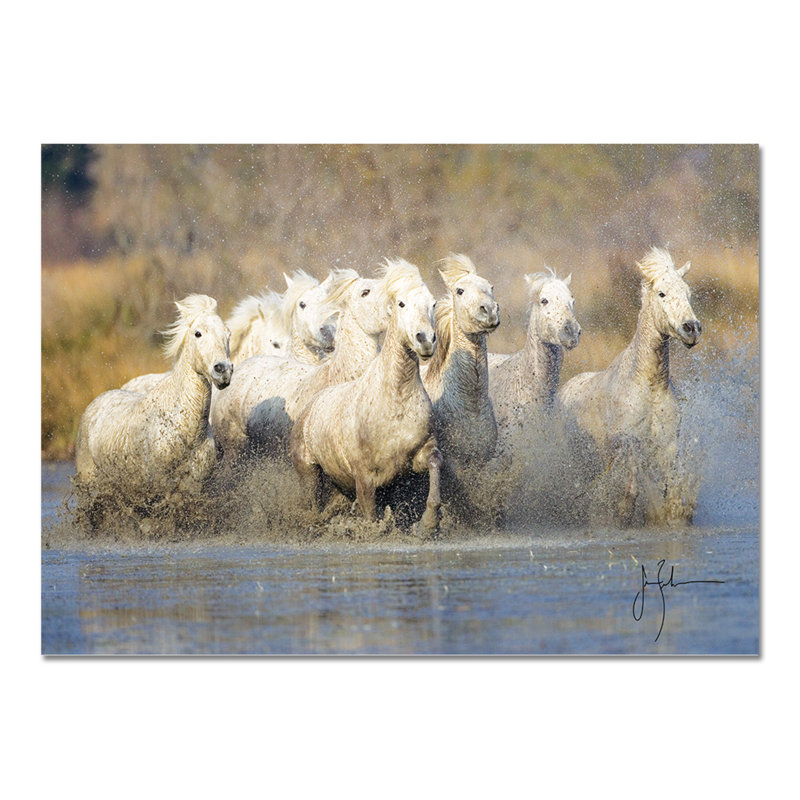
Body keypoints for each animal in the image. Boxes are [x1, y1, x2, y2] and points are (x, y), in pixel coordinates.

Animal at [74, 294, 233, 526]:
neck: (187, 432)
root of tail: (94, 404)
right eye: (198, 333)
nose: (223, 371)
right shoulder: (157, 491)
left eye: (228, 334)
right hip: (90, 486)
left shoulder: (192, 489)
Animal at [290, 258, 442, 533]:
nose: (425, 340)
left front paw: (428, 522)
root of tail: (307, 410)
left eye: (432, 303)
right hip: (310, 475)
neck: (396, 398)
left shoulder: (416, 456)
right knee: (312, 507)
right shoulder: (365, 479)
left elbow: (436, 462)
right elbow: (371, 517)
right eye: (401, 303)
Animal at [557, 247, 702, 525]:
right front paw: (623, 512)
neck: (649, 384)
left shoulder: (669, 444)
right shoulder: (627, 441)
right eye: (662, 293)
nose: (692, 329)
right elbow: (631, 489)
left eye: (688, 293)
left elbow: (672, 491)